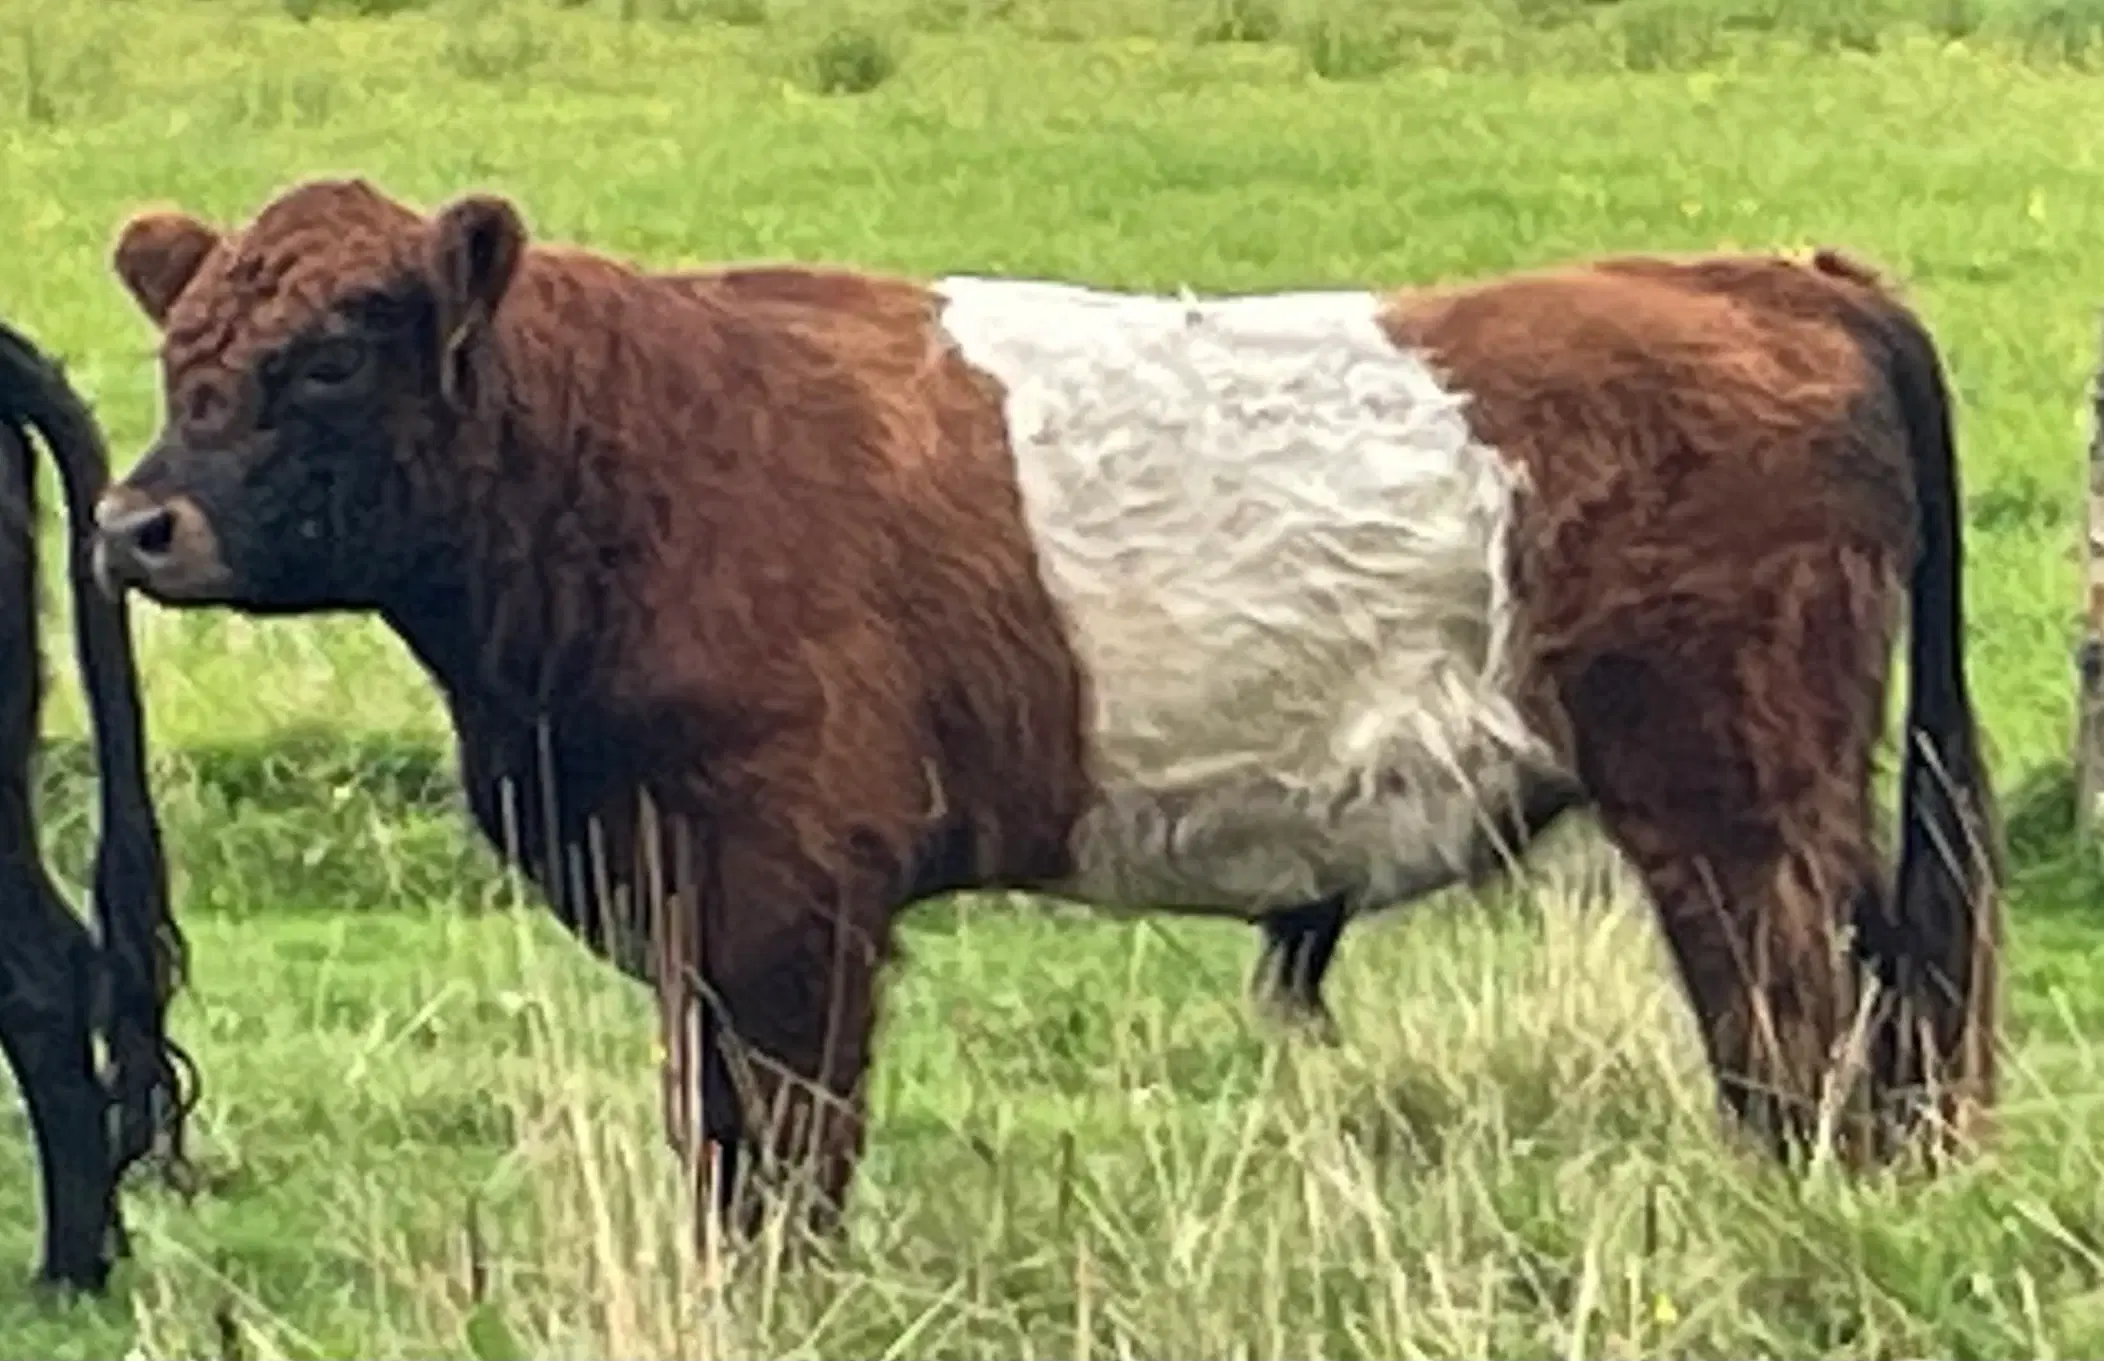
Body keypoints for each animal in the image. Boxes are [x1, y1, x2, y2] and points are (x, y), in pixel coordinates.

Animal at [90, 178, 2003, 1245]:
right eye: (182, 350)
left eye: (330, 356)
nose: (132, 521)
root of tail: (1768, 276)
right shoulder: (689, 895)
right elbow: (716, 1133)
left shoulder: (789, 885)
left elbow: (785, 1148)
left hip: (1733, 807)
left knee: (1792, 1033)